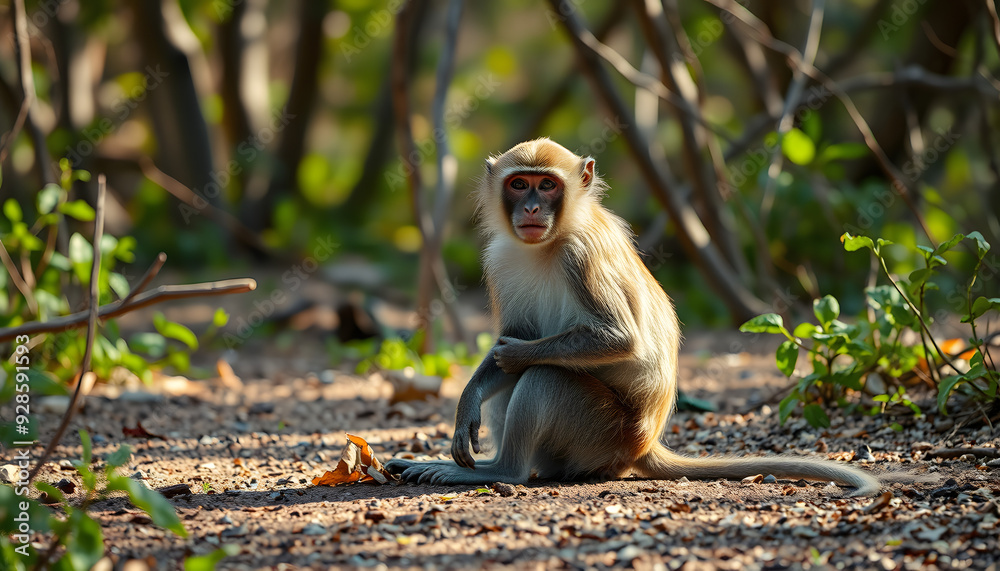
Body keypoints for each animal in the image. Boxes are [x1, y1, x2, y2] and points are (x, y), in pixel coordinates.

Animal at [385, 138, 880, 496]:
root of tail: (644, 442)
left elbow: (614, 339)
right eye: (519, 184)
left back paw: (502, 471)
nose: (531, 209)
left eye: (547, 186)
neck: (550, 243)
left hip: (603, 434)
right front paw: (466, 402)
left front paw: (513, 356)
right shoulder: (502, 259)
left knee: (545, 375)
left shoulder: (580, 254)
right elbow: (512, 341)